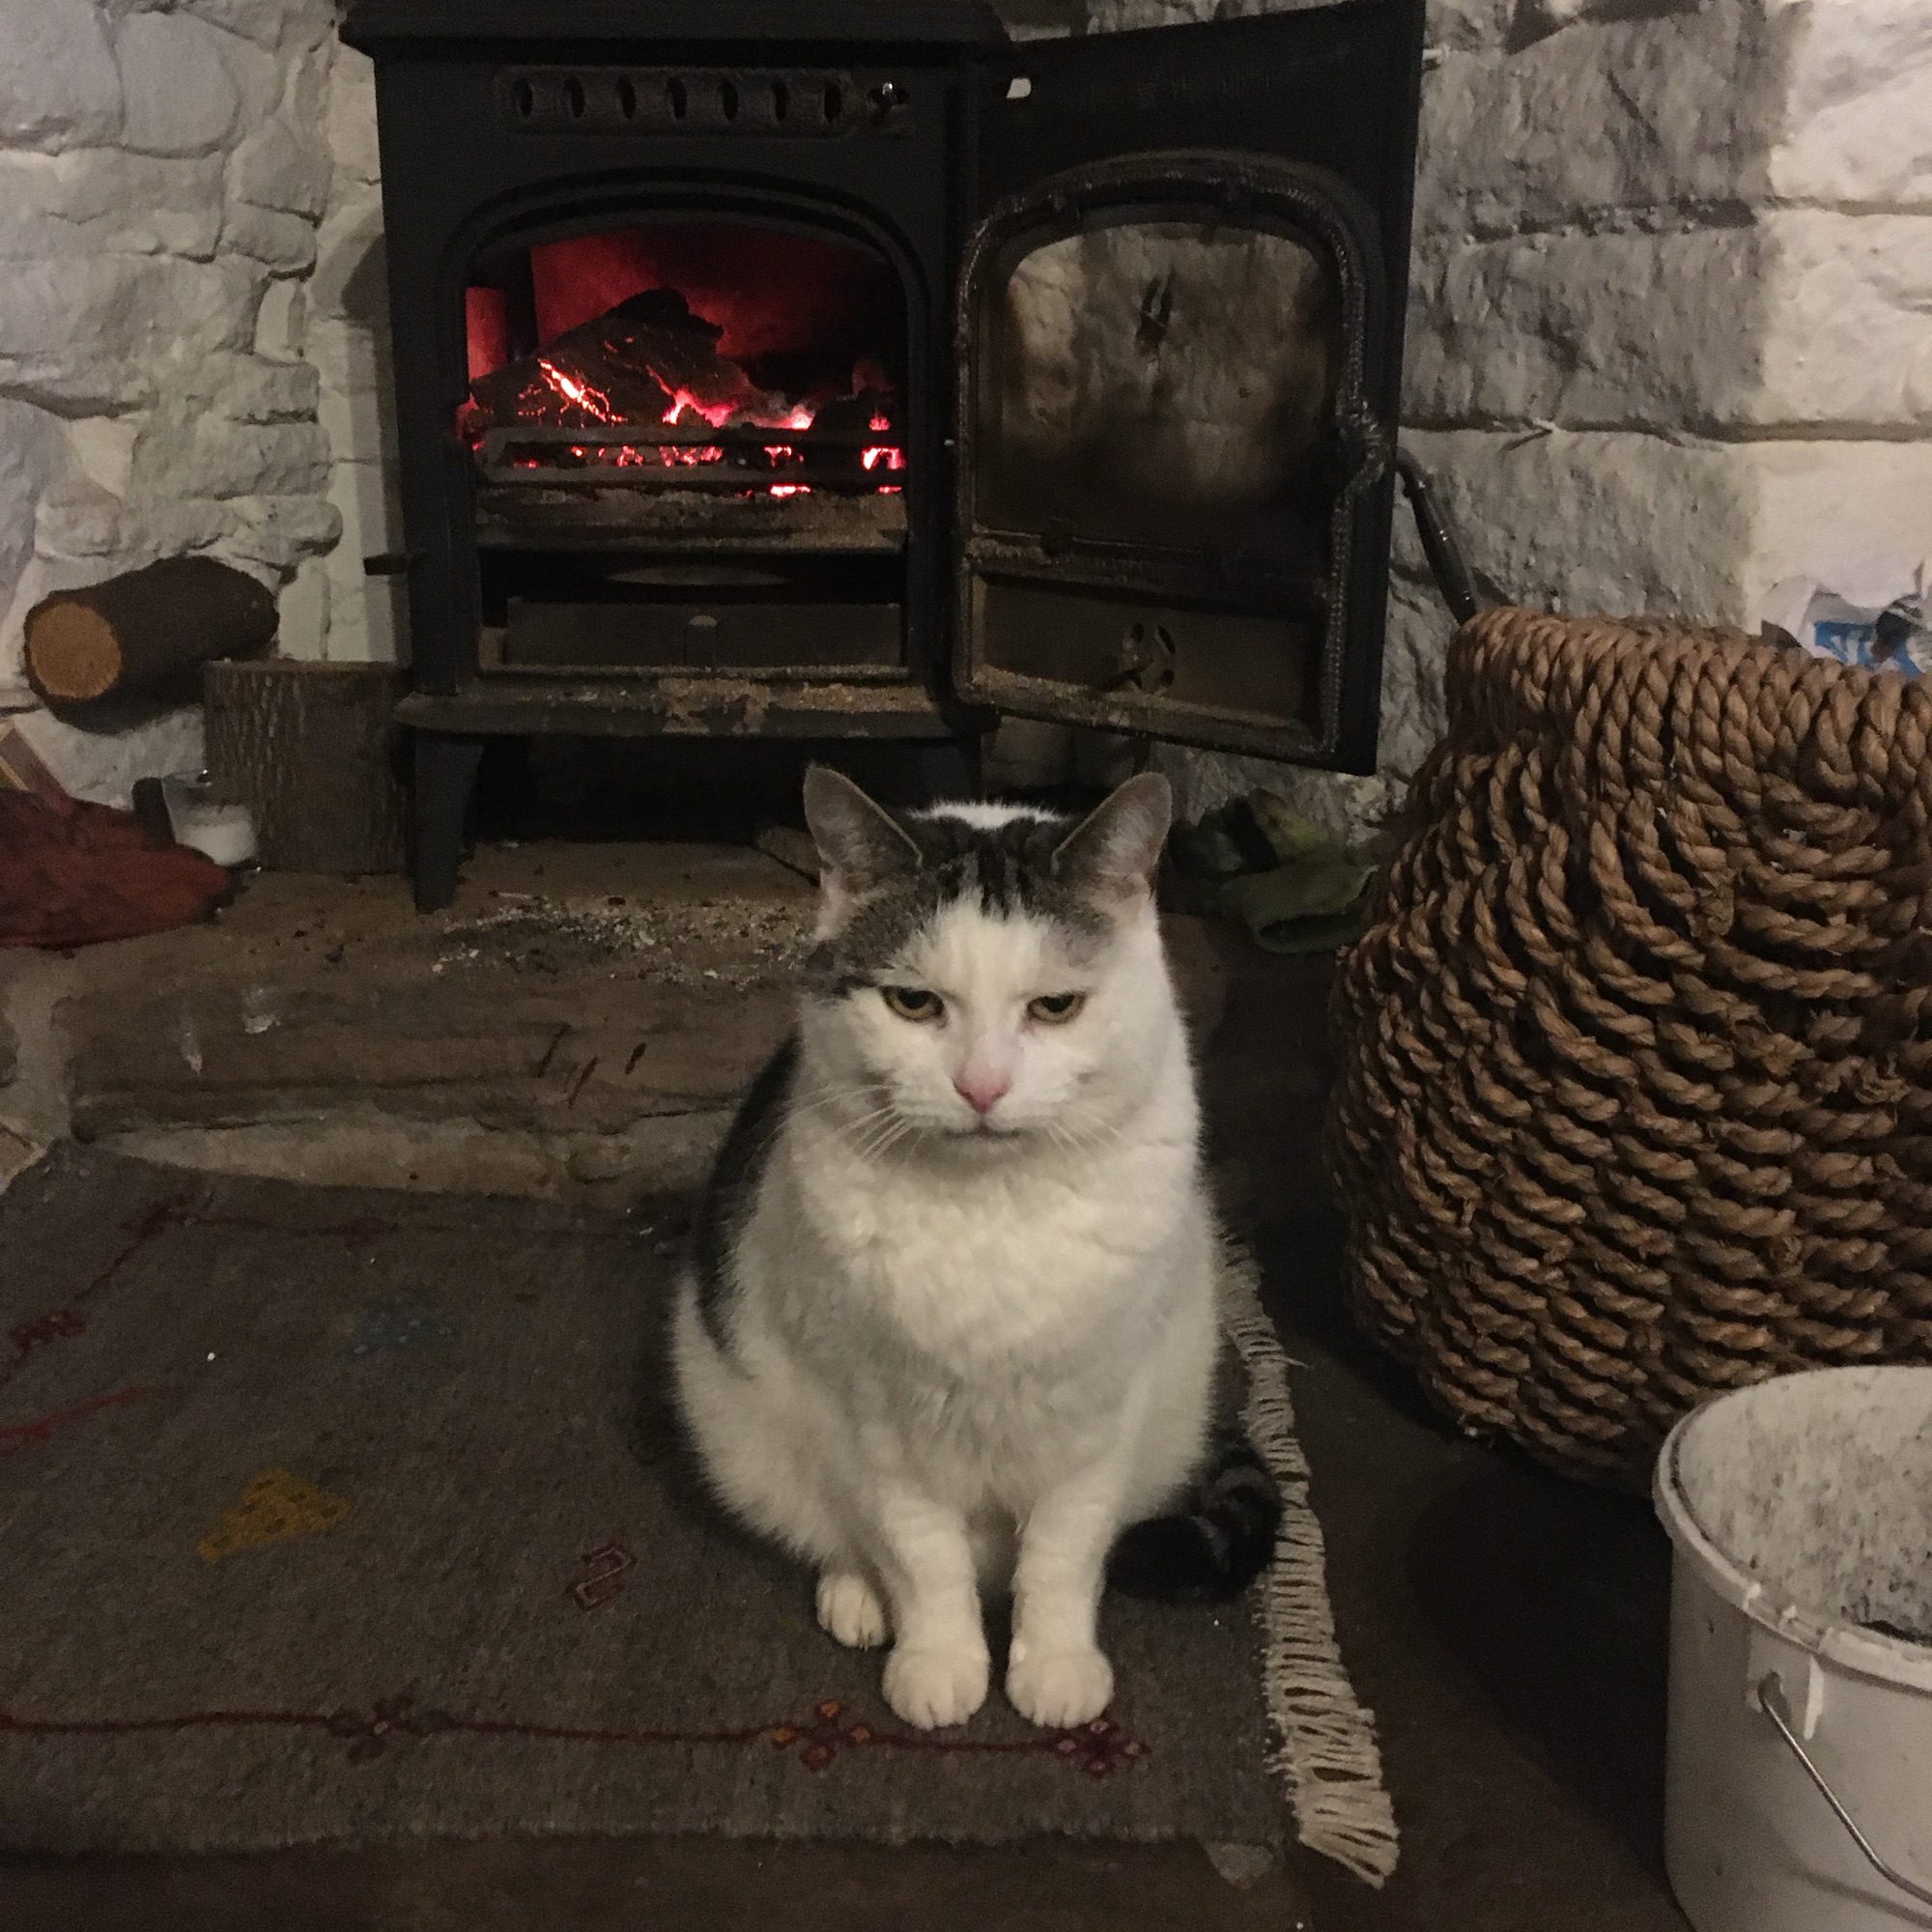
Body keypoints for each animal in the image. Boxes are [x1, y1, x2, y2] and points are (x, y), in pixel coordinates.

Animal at [671, 766, 1279, 1732]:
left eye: (1055, 1007)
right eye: (913, 1002)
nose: (982, 1087)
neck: (990, 1214)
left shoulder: (1097, 1417)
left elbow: (1064, 1555)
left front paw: (1055, 1666)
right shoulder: (878, 1422)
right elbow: (921, 1559)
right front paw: (940, 1663)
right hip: (741, 1423)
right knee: (837, 1530)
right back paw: (858, 1596)